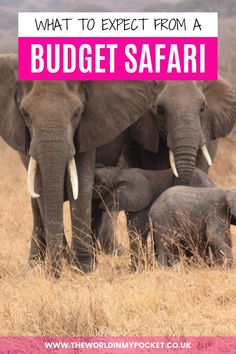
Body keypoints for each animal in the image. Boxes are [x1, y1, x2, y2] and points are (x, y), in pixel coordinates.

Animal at [0, 54, 159, 278]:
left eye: (77, 112)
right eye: (25, 113)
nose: (55, 274)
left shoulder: (89, 126)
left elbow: (82, 185)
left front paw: (84, 269)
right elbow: (41, 188)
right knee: (35, 204)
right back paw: (34, 266)